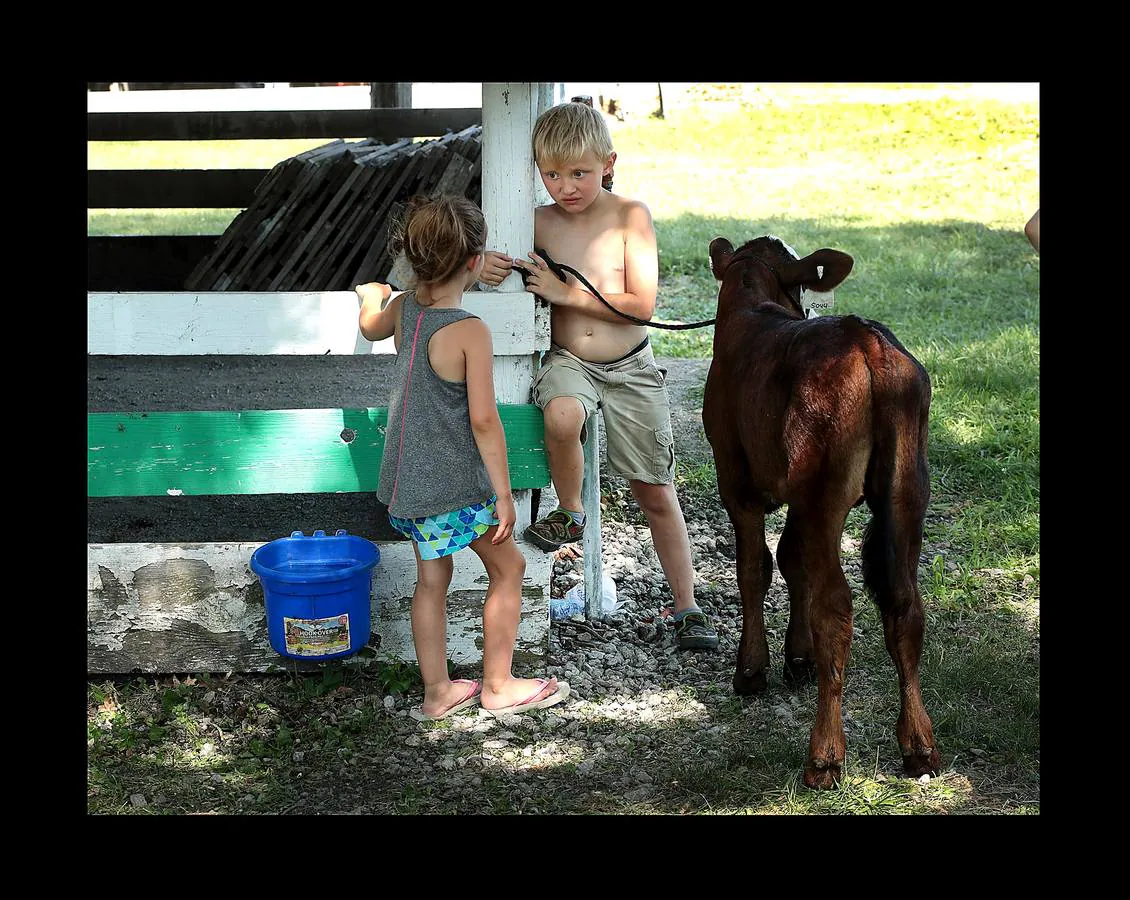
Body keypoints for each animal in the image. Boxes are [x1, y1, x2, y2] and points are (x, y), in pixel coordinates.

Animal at [700, 237, 940, 786]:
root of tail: (866, 340)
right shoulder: (794, 494)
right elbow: (792, 560)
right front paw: (799, 658)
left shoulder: (736, 480)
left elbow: (755, 567)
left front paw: (752, 669)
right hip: (906, 489)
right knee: (905, 603)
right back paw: (919, 746)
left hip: (823, 488)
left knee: (837, 605)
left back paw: (825, 755)